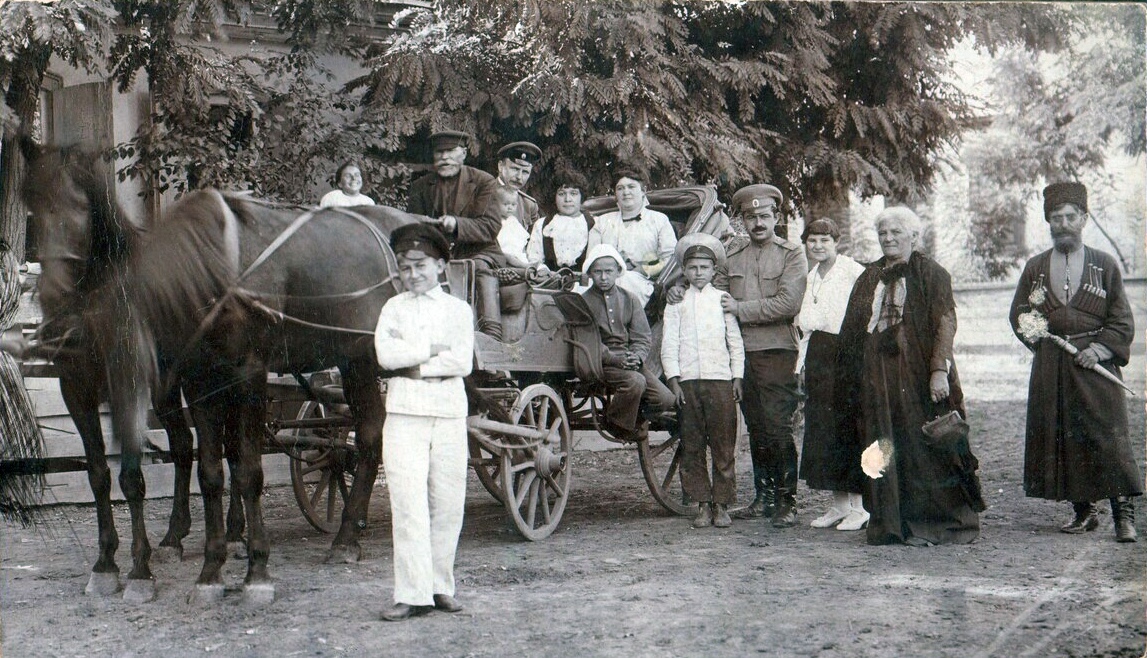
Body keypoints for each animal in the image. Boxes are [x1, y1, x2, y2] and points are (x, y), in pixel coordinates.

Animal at [16, 139, 248, 605]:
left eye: (80, 204)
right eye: (32, 203)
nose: (51, 294)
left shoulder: (127, 388)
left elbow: (132, 477)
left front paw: (139, 571)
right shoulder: (76, 390)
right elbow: (98, 475)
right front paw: (105, 564)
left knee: (231, 450)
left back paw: (233, 533)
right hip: (169, 390)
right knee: (183, 447)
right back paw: (175, 537)